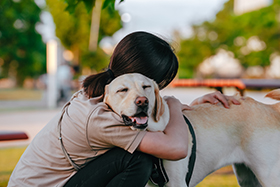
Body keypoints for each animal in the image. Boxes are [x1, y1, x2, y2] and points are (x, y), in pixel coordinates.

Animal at [104, 73, 280, 187]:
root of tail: (270, 108)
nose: (142, 101)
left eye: (146, 87)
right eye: (122, 90)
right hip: (248, 179)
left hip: (269, 176)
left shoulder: (177, 183)